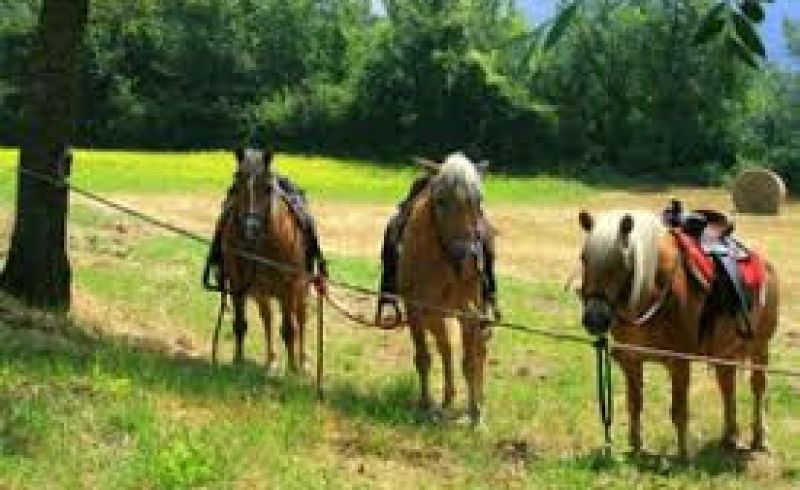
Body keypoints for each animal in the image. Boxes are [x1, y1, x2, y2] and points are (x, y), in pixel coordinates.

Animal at [220, 148, 309, 372]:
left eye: (268, 188)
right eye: (237, 183)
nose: (251, 228)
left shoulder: (288, 285)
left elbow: (289, 329)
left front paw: (292, 369)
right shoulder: (238, 283)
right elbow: (240, 323)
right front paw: (237, 361)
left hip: (300, 289)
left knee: (301, 319)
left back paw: (303, 362)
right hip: (262, 293)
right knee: (267, 318)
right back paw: (271, 360)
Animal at [397, 152, 493, 426]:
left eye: (479, 201)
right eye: (440, 201)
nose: (468, 255)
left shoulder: (469, 312)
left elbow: (470, 362)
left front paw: (476, 415)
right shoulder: (415, 309)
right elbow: (424, 357)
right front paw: (426, 405)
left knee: (479, 350)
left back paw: (478, 400)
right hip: (434, 316)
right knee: (445, 347)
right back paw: (448, 398)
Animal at [577, 209, 779, 459]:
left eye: (621, 263)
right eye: (583, 258)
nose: (594, 319)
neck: (652, 293)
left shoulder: (679, 362)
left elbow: (679, 410)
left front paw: (683, 455)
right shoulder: (631, 360)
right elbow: (634, 403)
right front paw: (636, 448)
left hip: (760, 346)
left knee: (758, 387)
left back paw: (759, 439)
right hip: (724, 352)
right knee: (727, 385)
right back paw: (729, 437)